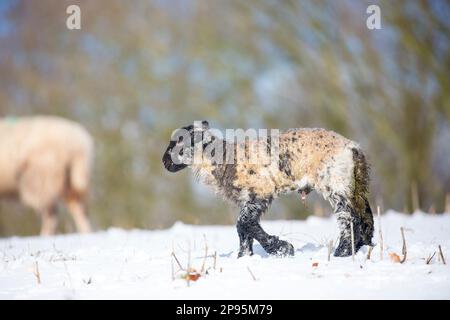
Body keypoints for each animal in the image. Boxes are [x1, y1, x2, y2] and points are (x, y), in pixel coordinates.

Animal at [162, 120, 372, 258]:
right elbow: (244, 229)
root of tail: (352, 148)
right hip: (354, 185)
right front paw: (245, 257)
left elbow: (244, 223)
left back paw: (342, 253)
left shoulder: (260, 192)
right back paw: (363, 247)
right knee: (365, 216)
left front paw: (282, 248)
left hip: (334, 182)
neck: (223, 161)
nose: (164, 162)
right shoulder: (247, 199)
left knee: (348, 218)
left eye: (178, 142)